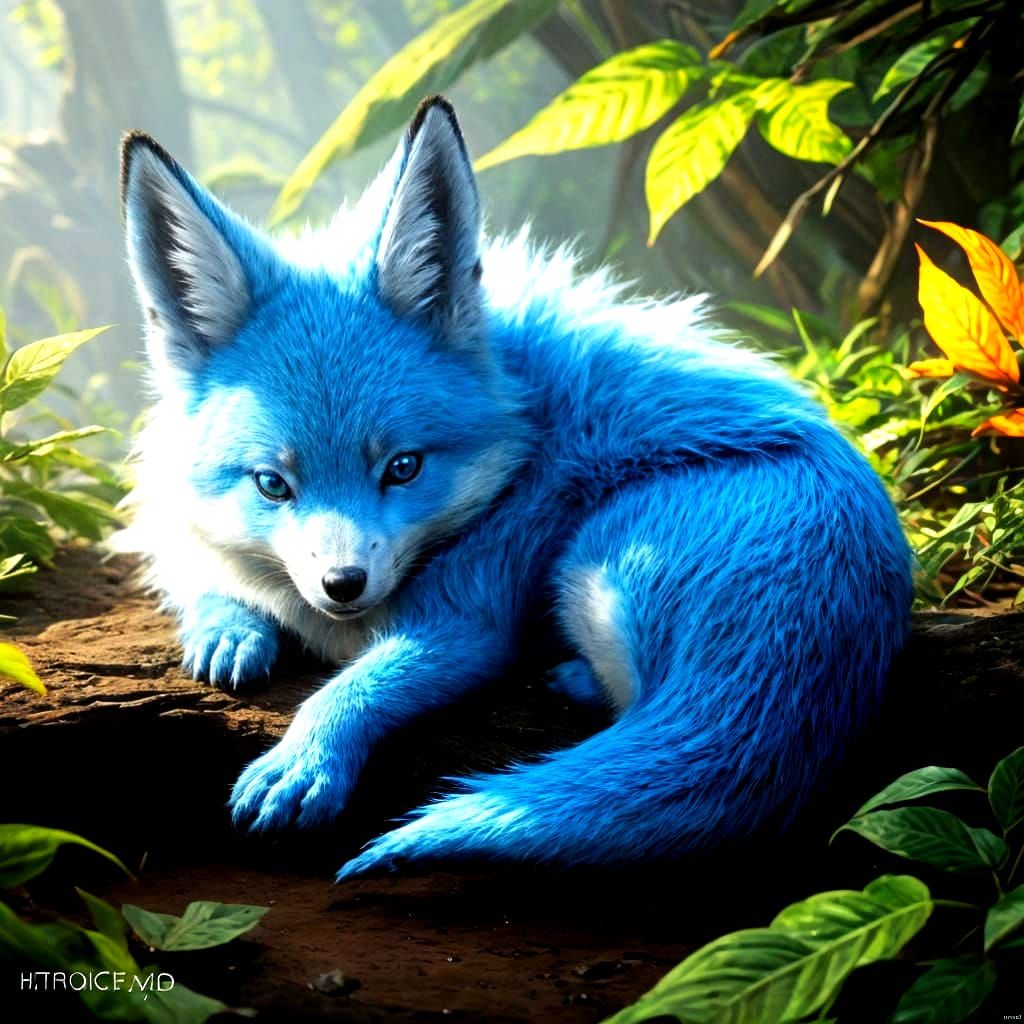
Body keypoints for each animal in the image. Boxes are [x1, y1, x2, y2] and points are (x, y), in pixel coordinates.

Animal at [117, 96, 912, 879]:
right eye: (272, 484)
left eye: (403, 467)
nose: (343, 585)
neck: (521, 420)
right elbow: (202, 576)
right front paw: (227, 629)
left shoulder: (468, 621)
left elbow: (354, 688)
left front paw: (306, 758)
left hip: (588, 561)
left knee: (631, 708)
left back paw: (572, 680)